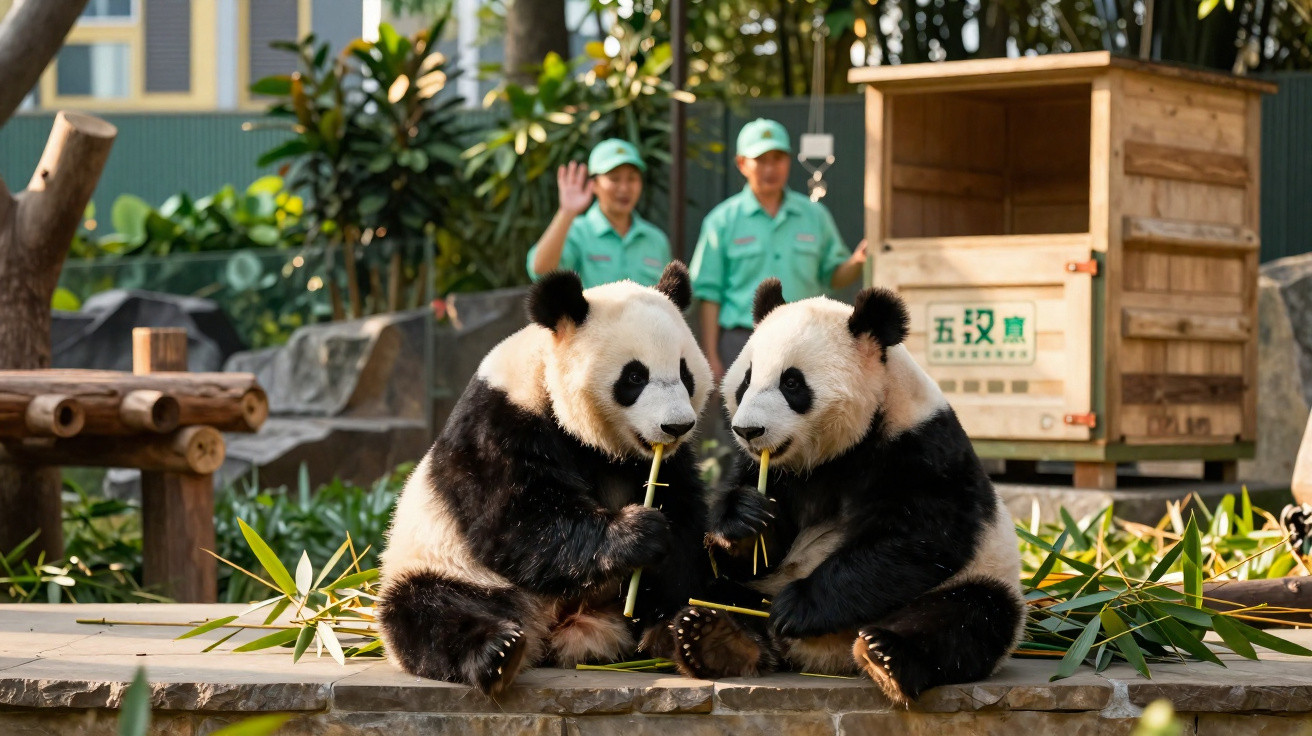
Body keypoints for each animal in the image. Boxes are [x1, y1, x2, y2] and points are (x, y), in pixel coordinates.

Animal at [377, 262, 713, 695]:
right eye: (635, 377)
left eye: (686, 374)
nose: (676, 426)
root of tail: (554, 628)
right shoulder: (499, 424)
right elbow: (518, 522)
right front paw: (640, 530)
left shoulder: (662, 463)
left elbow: (685, 523)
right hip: (447, 566)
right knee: (426, 612)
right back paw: (497, 652)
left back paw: (693, 636)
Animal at [671, 278, 1024, 705]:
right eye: (746, 381)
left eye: (792, 383)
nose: (748, 431)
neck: (837, 453)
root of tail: (823, 657)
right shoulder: (772, 471)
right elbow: (757, 551)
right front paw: (745, 522)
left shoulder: (923, 448)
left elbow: (917, 540)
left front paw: (797, 606)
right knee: (710, 589)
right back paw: (713, 637)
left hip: (979, 580)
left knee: (970, 617)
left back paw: (884, 656)